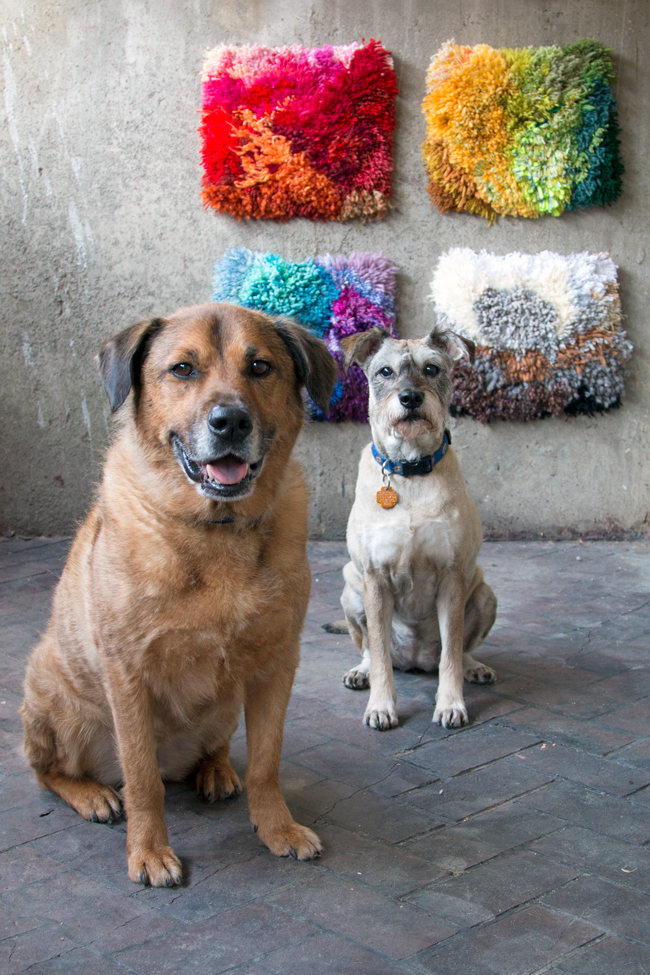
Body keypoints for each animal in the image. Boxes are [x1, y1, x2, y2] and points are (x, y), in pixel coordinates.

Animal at [20, 304, 334, 884]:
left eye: (260, 367)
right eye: (183, 369)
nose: (230, 421)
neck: (215, 530)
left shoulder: (276, 663)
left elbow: (267, 761)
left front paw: (276, 828)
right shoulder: (128, 673)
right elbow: (141, 778)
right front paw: (148, 851)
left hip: (226, 704)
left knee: (218, 749)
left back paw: (215, 771)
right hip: (53, 692)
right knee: (49, 771)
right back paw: (92, 794)